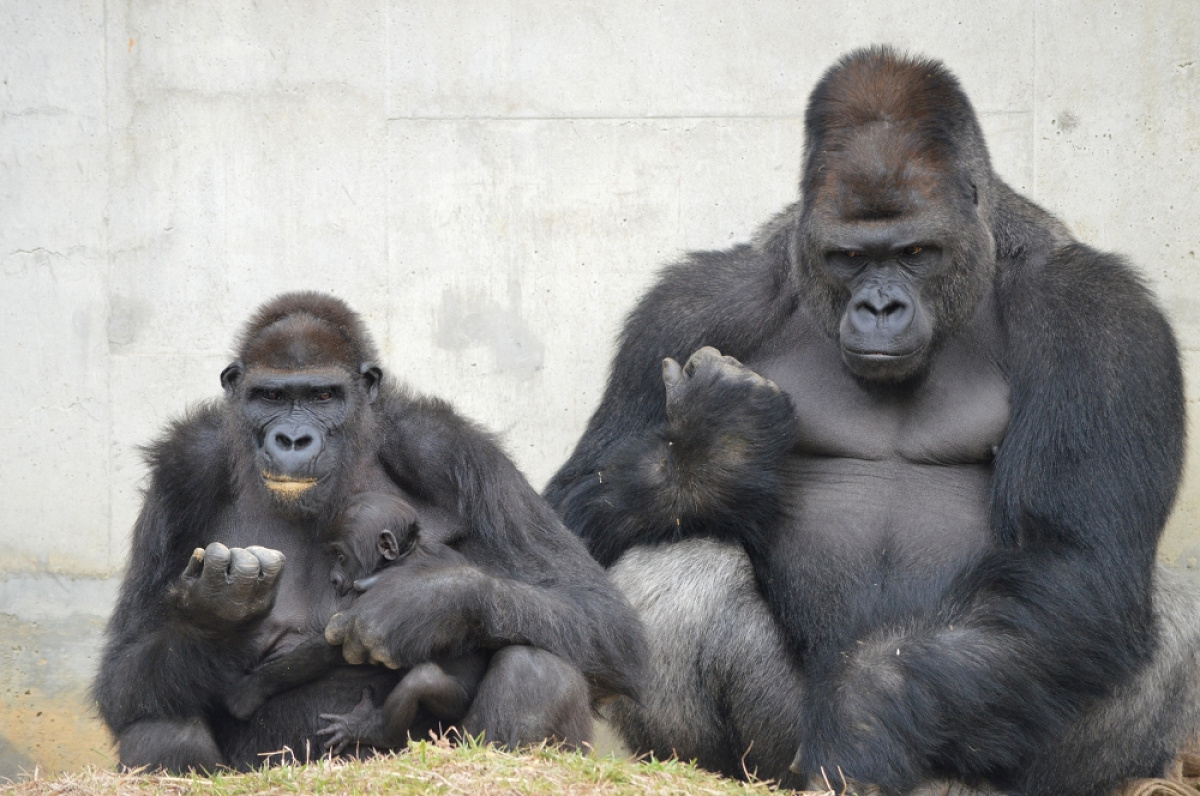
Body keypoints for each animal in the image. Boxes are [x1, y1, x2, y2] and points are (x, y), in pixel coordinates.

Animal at [223, 492, 489, 753]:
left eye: (341, 556)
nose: (333, 578)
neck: (406, 554)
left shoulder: (369, 587)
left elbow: (331, 645)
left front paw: (251, 690)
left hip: (457, 700)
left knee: (421, 682)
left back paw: (370, 731)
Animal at [547, 46, 1200, 792]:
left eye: (915, 252)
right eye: (850, 257)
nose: (880, 308)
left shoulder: (1103, 318)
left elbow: (1073, 557)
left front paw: (861, 724)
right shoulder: (685, 308)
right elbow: (563, 529)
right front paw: (712, 455)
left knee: (1146, 620)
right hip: (782, 750)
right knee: (676, 560)